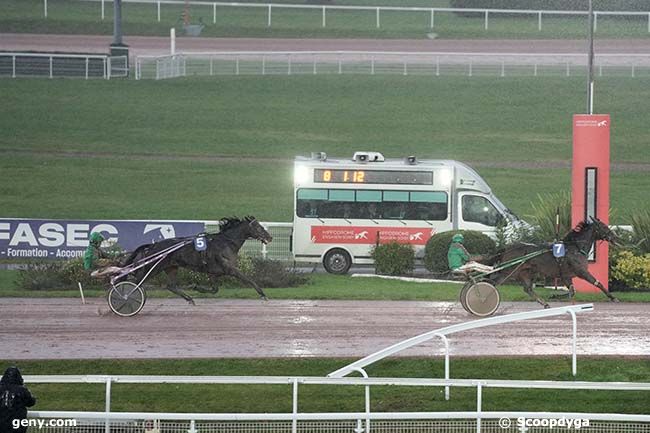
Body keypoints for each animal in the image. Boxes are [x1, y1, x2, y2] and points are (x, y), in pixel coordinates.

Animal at [120, 214, 272, 302]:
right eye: (258, 227)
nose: (270, 237)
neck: (226, 242)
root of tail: (153, 245)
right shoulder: (229, 268)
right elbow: (248, 279)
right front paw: (262, 294)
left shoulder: (214, 272)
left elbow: (214, 289)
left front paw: (195, 287)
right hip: (154, 268)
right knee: (137, 282)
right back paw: (125, 298)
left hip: (171, 267)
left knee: (171, 286)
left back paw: (189, 298)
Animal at [486, 219, 616, 308]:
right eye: (604, 226)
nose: (614, 236)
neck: (575, 248)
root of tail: (507, 248)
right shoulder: (581, 272)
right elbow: (598, 283)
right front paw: (613, 297)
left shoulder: (566, 276)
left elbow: (572, 291)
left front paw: (553, 296)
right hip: (509, 272)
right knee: (492, 282)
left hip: (526, 272)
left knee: (528, 289)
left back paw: (545, 303)